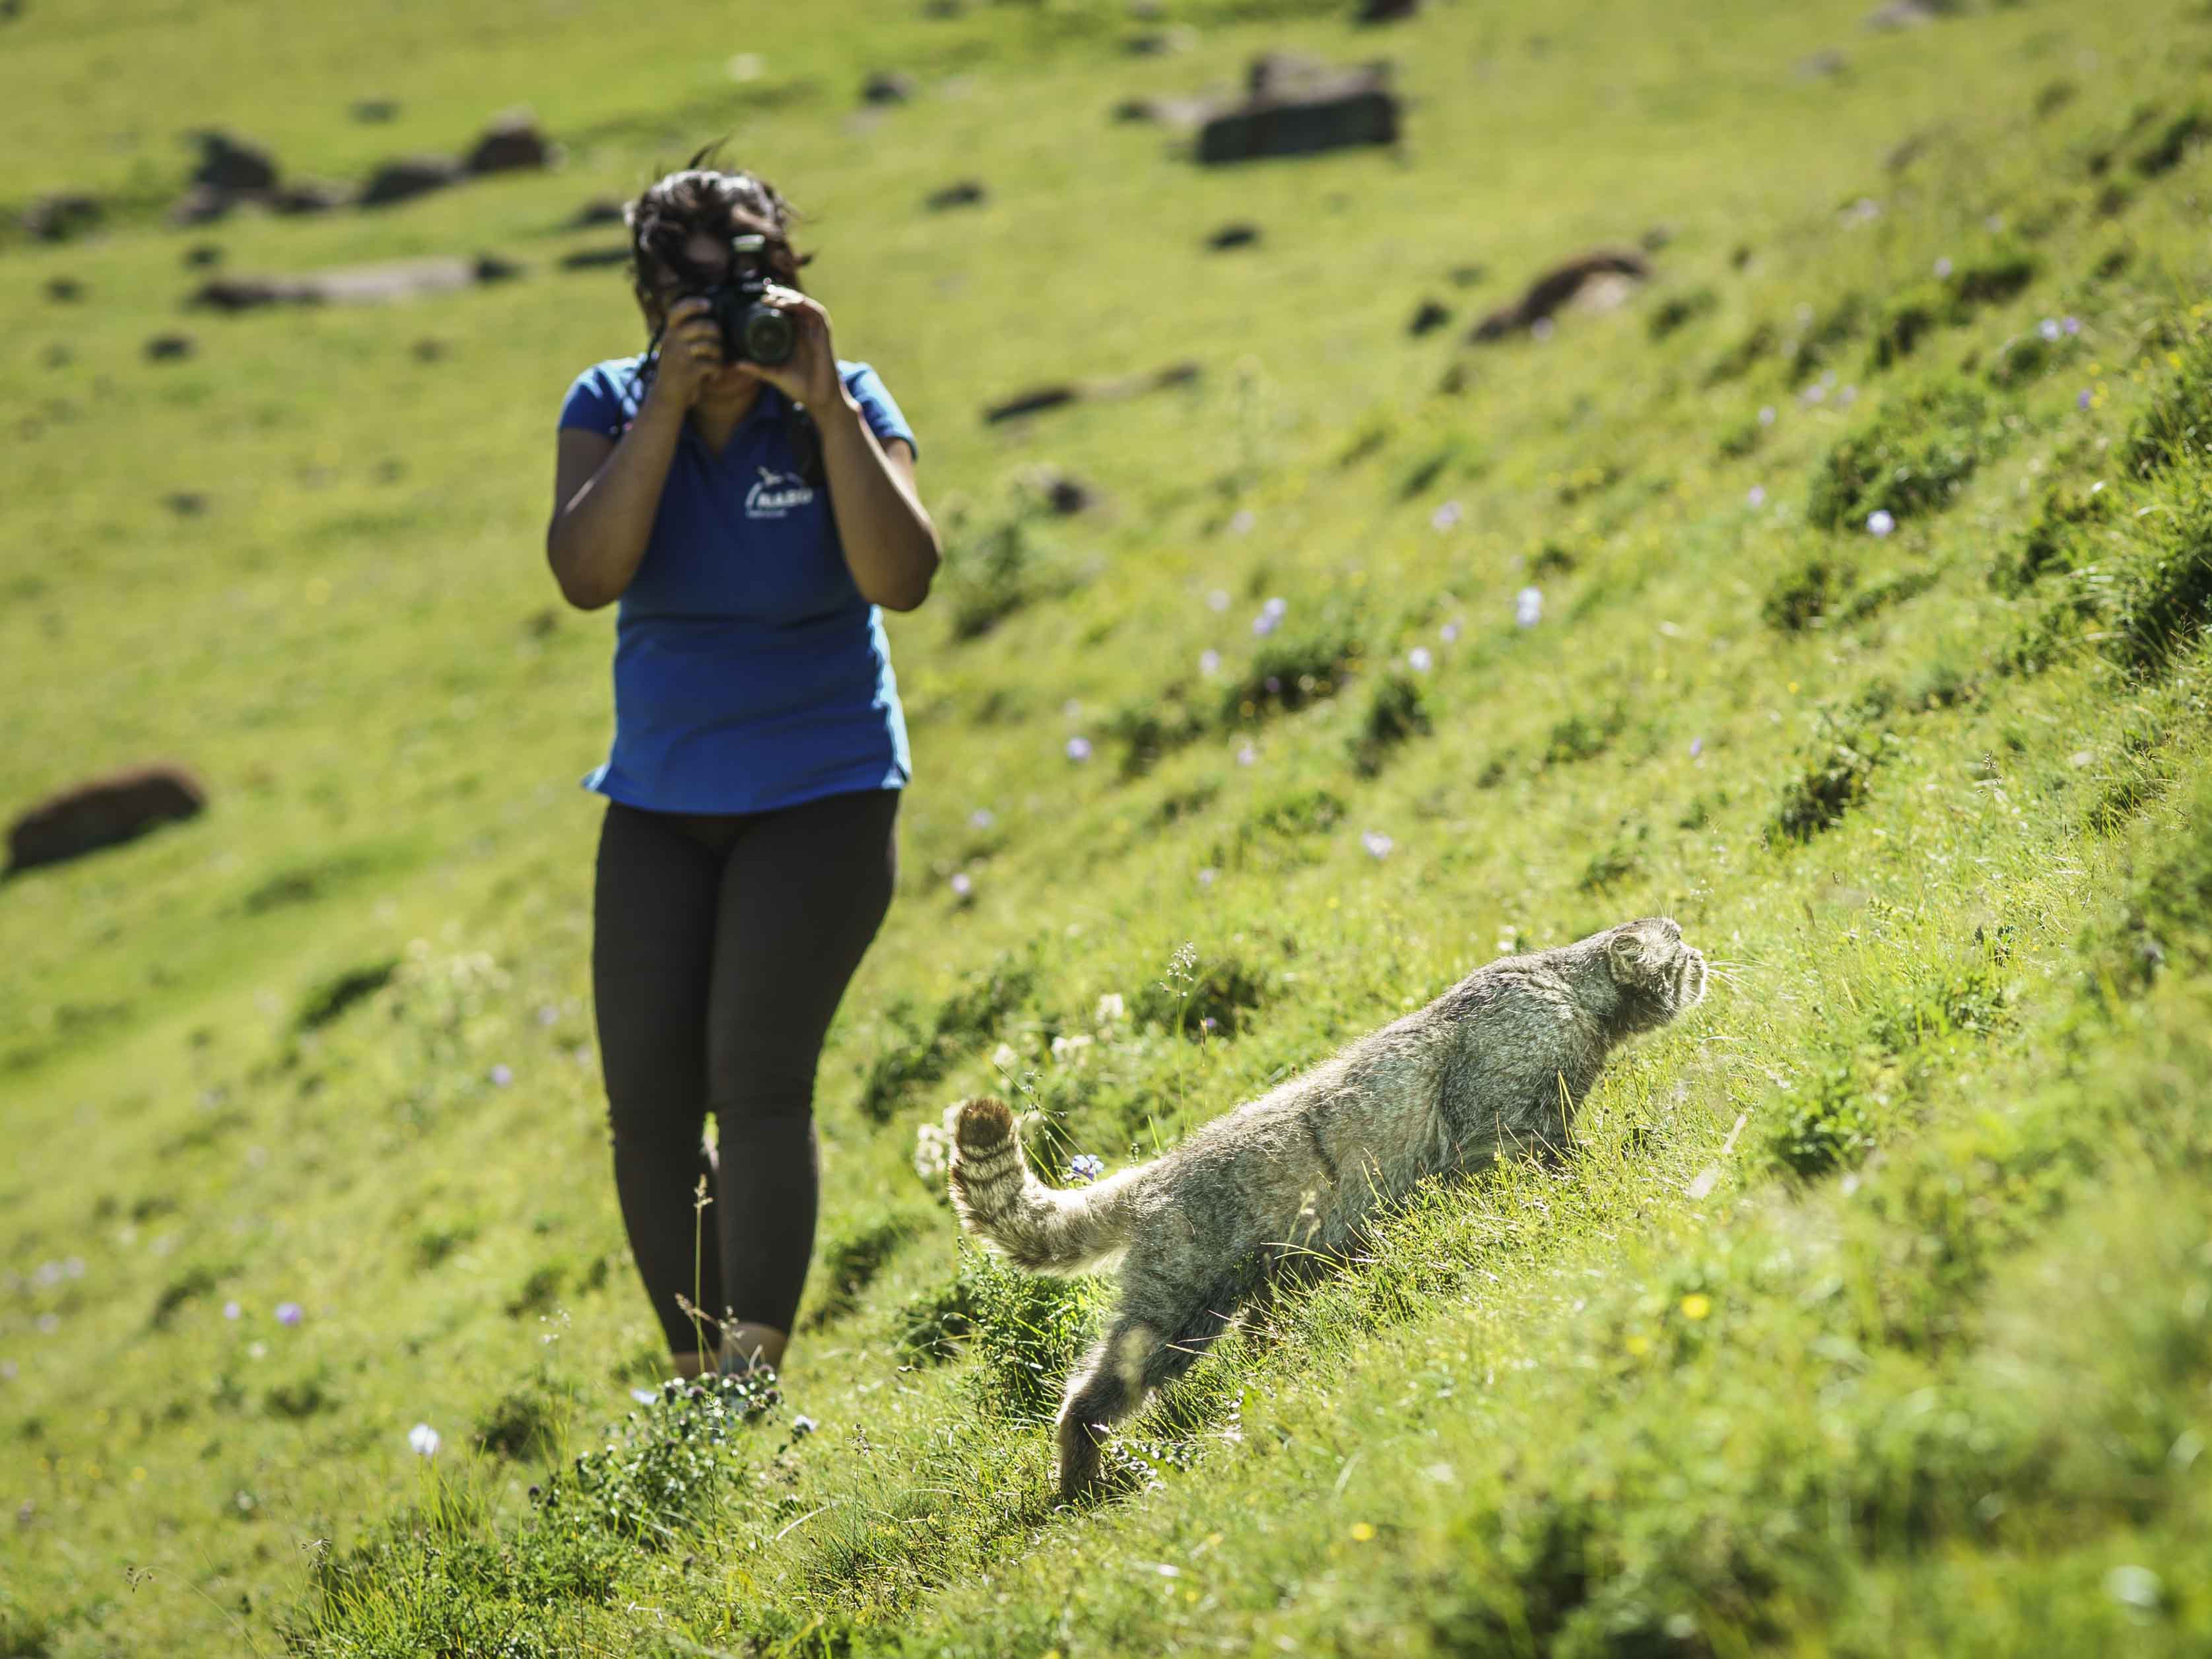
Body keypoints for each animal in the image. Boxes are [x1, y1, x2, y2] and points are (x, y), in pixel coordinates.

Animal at [947, 915, 1708, 1498]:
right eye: (1675, 942)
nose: (1701, 951)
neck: (1571, 992)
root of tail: (1153, 1175)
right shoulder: (1504, 1128)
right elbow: (1553, 1162)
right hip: (1174, 1310)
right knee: (1089, 1395)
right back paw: (1079, 1480)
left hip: (1250, 1292)